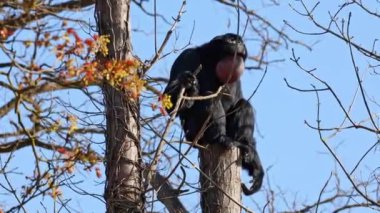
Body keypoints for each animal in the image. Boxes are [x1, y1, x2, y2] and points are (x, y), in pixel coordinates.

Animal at [163, 32, 264, 195]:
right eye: (232, 40)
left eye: (240, 41)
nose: (239, 43)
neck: (212, 60)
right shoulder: (187, 56)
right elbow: (171, 105)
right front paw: (186, 83)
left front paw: (257, 169)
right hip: (192, 132)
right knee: (210, 98)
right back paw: (220, 138)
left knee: (244, 104)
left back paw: (244, 146)